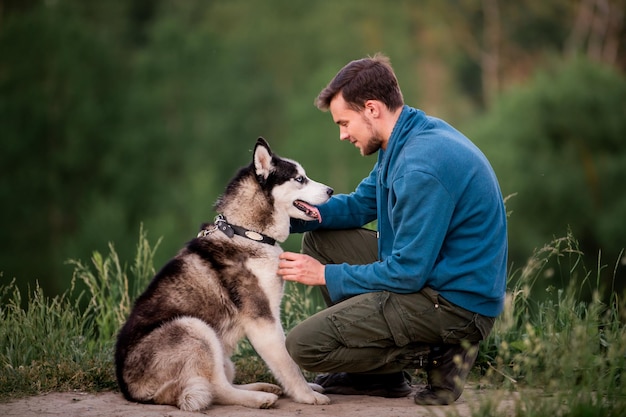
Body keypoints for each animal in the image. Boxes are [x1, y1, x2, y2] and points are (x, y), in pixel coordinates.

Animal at [115, 139, 334, 410]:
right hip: (194, 328)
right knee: (217, 388)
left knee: (221, 381)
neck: (247, 233)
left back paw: (262, 387)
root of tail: (129, 390)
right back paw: (259, 398)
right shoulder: (263, 318)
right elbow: (287, 362)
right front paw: (306, 395)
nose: (331, 191)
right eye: (300, 178)